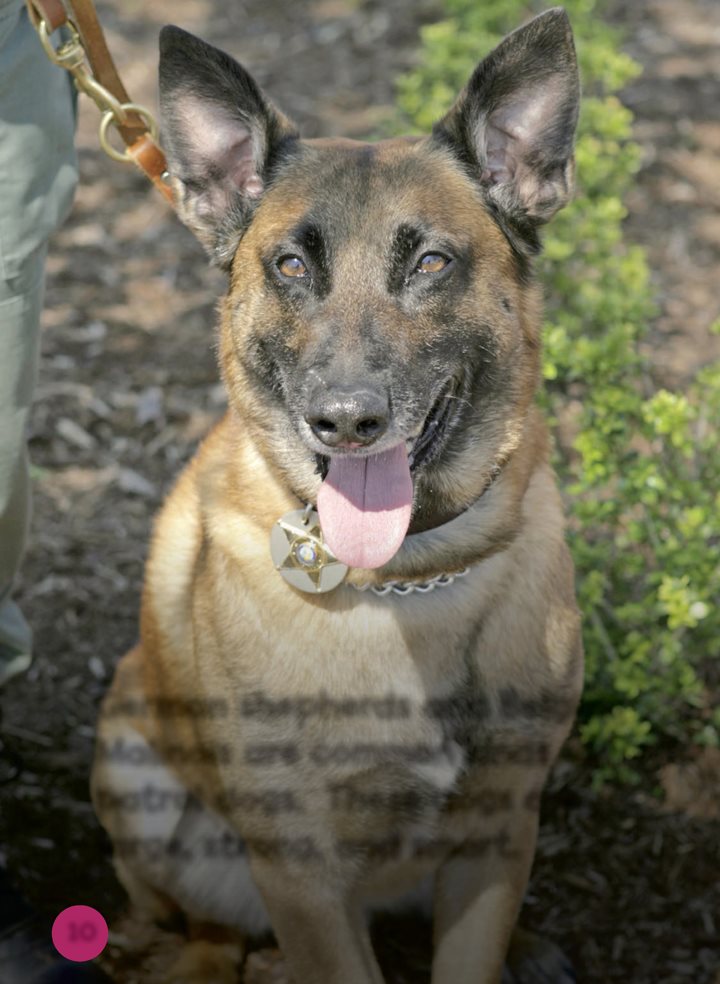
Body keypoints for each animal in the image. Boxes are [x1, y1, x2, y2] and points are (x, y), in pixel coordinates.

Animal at [91, 9, 584, 984]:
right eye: (288, 265)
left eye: (430, 261)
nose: (347, 422)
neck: (409, 580)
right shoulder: (304, 880)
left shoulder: (495, 839)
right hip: (136, 773)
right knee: (201, 927)